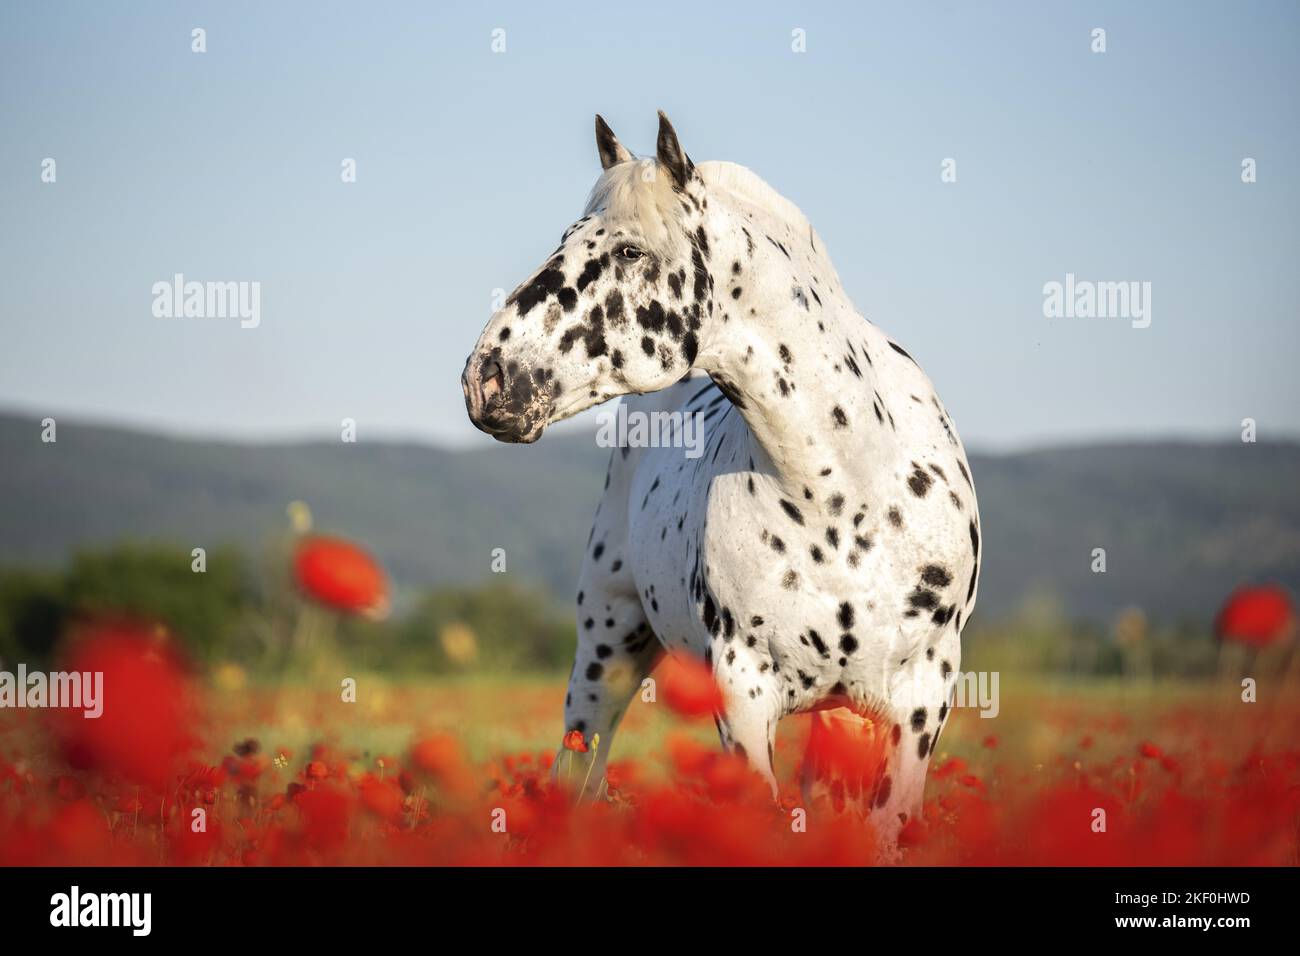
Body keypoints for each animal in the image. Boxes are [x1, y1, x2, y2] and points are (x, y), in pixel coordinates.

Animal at [462, 112, 981, 852]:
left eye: (628, 251)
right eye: (567, 237)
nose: (485, 378)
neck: (846, 491)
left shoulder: (920, 700)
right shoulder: (742, 694)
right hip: (607, 647)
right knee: (579, 769)